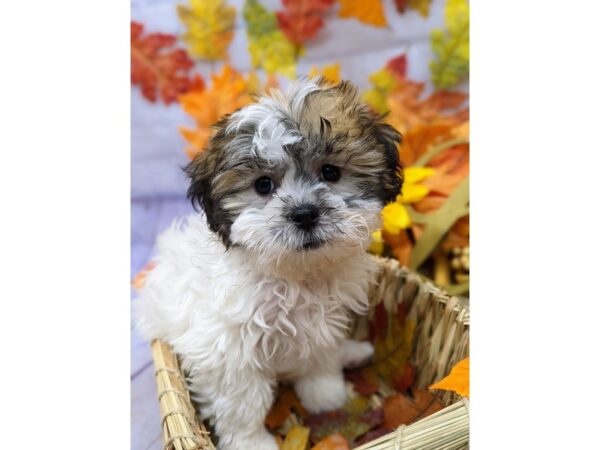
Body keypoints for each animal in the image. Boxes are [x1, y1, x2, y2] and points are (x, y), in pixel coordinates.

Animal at [134, 78, 400, 450]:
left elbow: (320, 359)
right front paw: (252, 442)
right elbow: (244, 401)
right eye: (263, 185)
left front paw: (326, 395)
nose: (304, 213)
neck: (296, 274)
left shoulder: (322, 324)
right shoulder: (228, 351)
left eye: (330, 172)